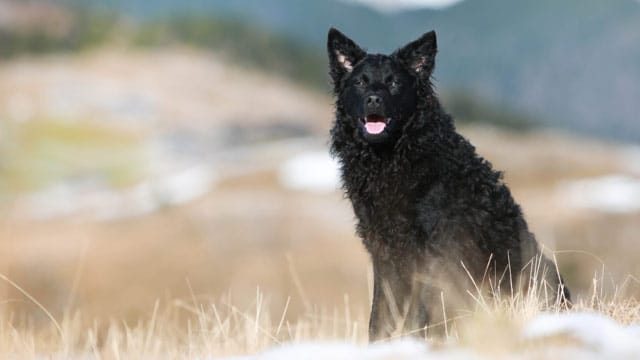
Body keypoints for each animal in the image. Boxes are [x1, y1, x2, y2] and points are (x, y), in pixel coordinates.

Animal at [328, 28, 568, 340]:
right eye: (360, 82)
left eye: (394, 83)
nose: (373, 100)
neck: (394, 156)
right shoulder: (383, 252)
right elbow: (379, 316)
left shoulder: (435, 252)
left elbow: (419, 313)